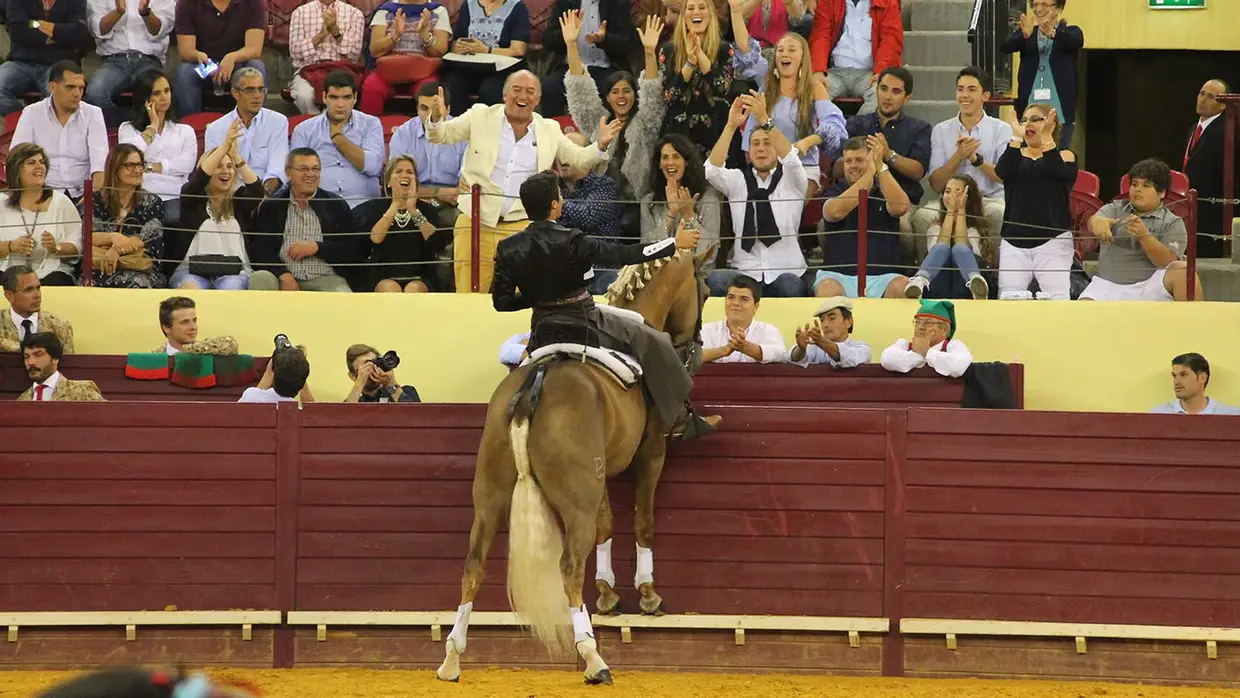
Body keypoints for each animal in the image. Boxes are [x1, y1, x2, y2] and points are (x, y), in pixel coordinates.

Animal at [434, 245, 709, 684]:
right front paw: (647, 594)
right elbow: (642, 521)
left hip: (491, 494)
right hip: (576, 501)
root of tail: (534, 386)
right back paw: (593, 658)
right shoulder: (651, 452)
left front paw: (609, 593)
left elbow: (607, 525)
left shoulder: (601, 473)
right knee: (569, 567)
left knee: (473, 563)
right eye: (705, 290)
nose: (694, 347)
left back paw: (451, 659)